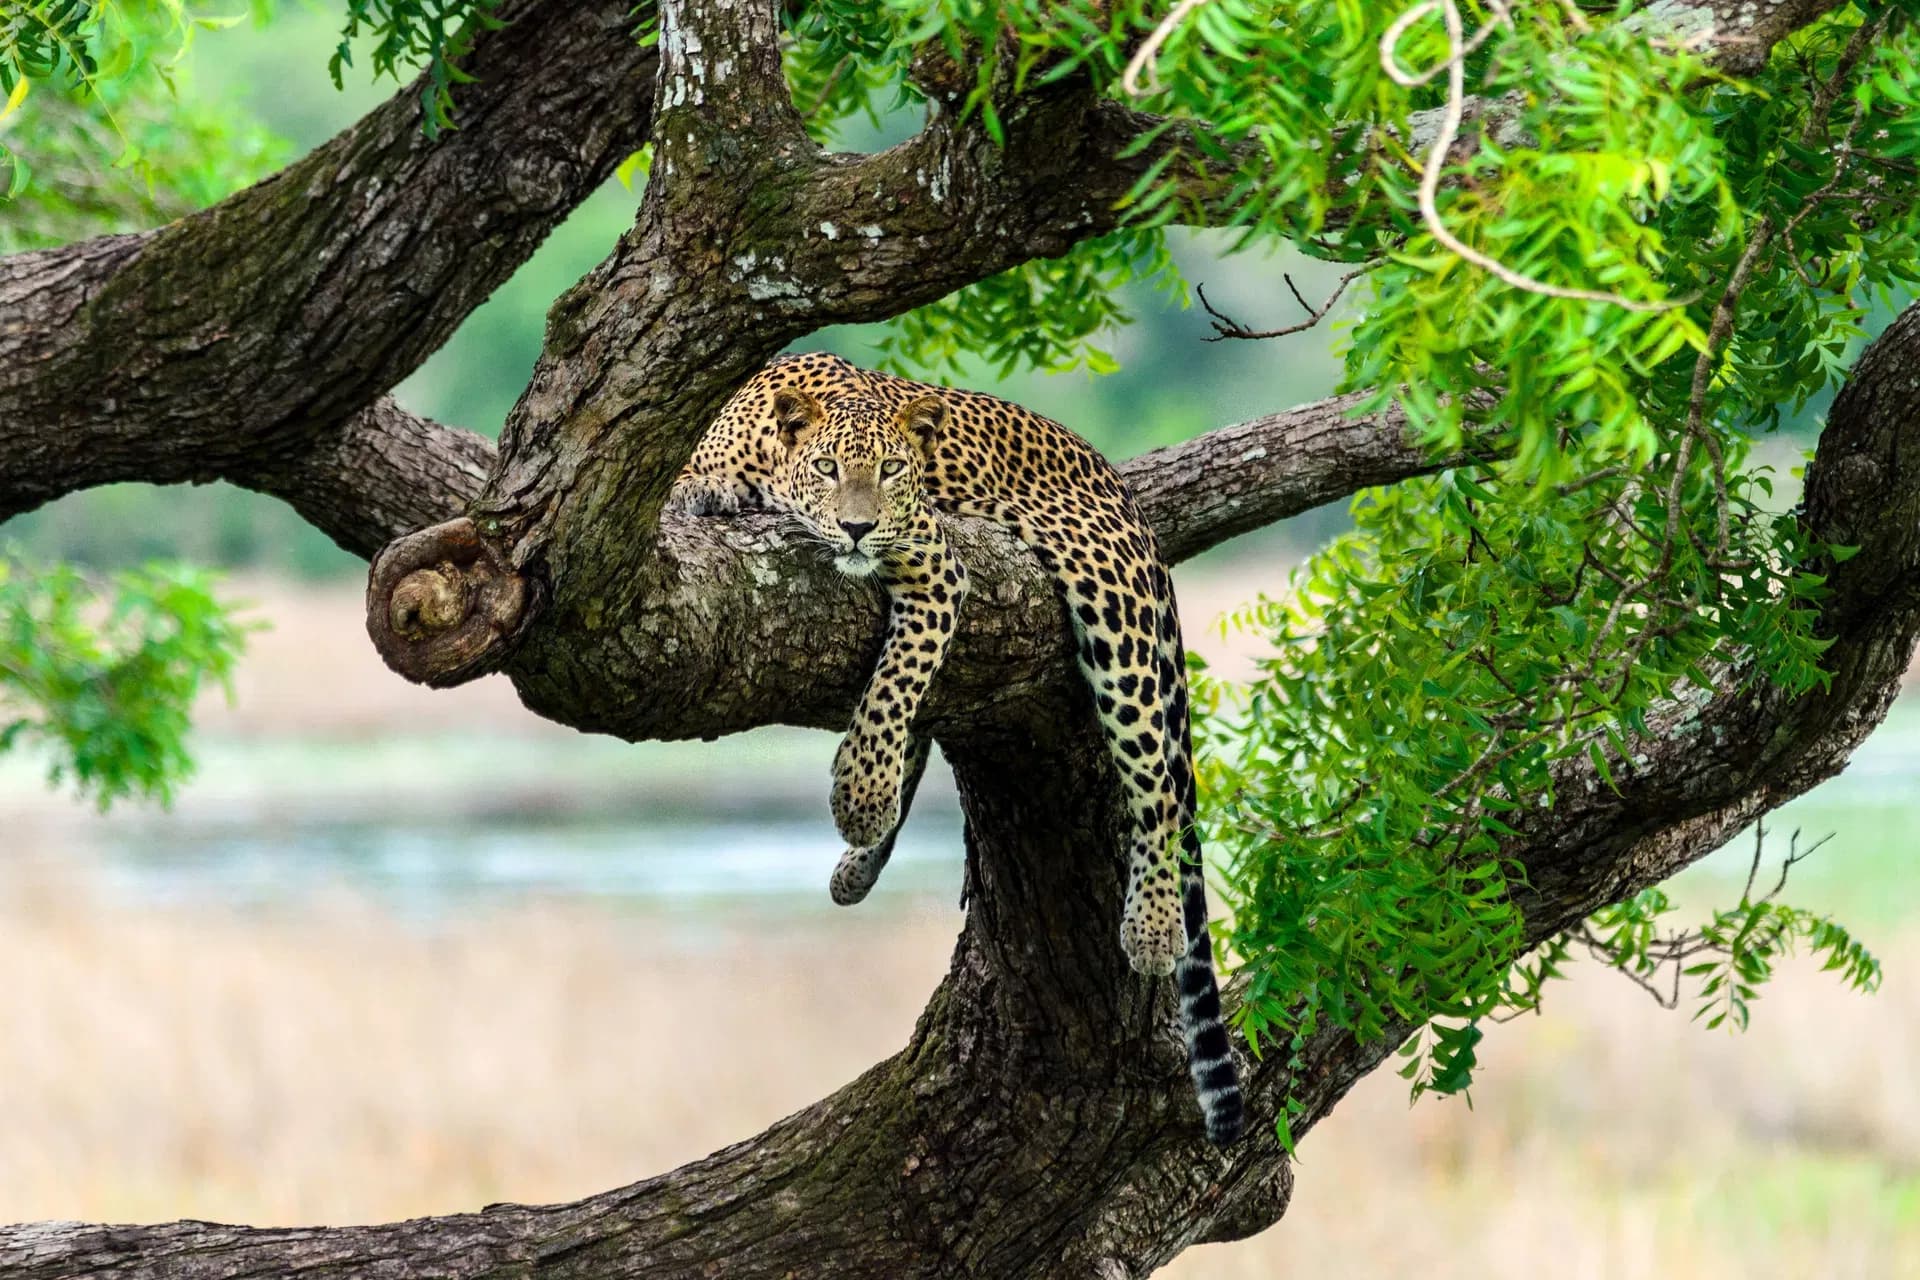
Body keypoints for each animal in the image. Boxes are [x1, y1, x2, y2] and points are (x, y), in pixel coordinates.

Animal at [669, 351, 1245, 1146]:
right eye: (826, 468)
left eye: (890, 469)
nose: (856, 528)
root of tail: (1119, 483)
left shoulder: (934, 564)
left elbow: (896, 680)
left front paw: (860, 792)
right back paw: (858, 867)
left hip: (1114, 608)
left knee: (1156, 778)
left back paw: (1154, 926)